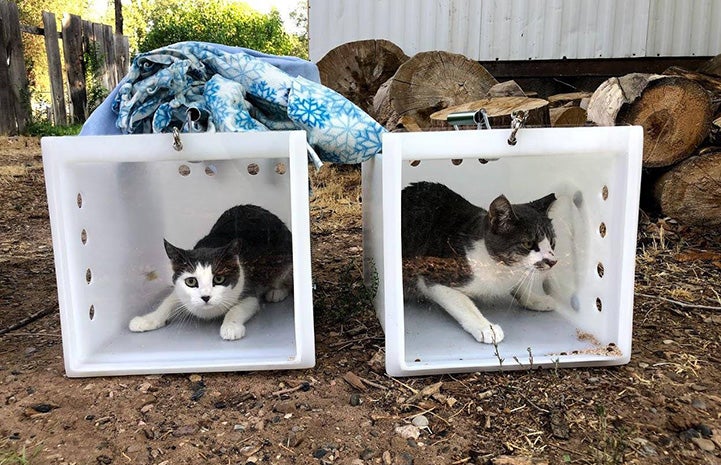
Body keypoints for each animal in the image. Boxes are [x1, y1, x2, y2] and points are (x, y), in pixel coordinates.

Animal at [128, 205, 292, 338]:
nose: (205, 297)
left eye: (219, 279)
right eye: (191, 281)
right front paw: (147, 319)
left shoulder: (249, 289)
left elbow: (237, 308)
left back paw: (276, 292)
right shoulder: (180, 290)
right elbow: (168, 301)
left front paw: (231, 326)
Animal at [400, 181, 556, 344]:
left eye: (552, 242)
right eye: (528, 243)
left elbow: (518, 284)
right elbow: (463, 303)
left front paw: (536, 299)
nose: (552, 261)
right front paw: (486, 328)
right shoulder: (435, 277)